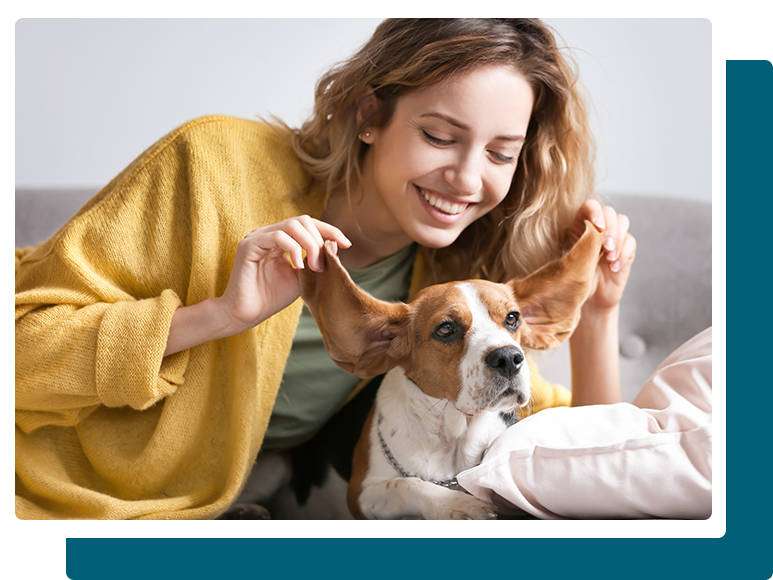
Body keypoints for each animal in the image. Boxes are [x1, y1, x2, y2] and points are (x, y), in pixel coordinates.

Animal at [290, 220, 604, 520]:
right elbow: (406, 483)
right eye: (445, 329)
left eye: (513, 318)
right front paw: (456, 504)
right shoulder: (360, 496)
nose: (509, 358)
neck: (454, 434)